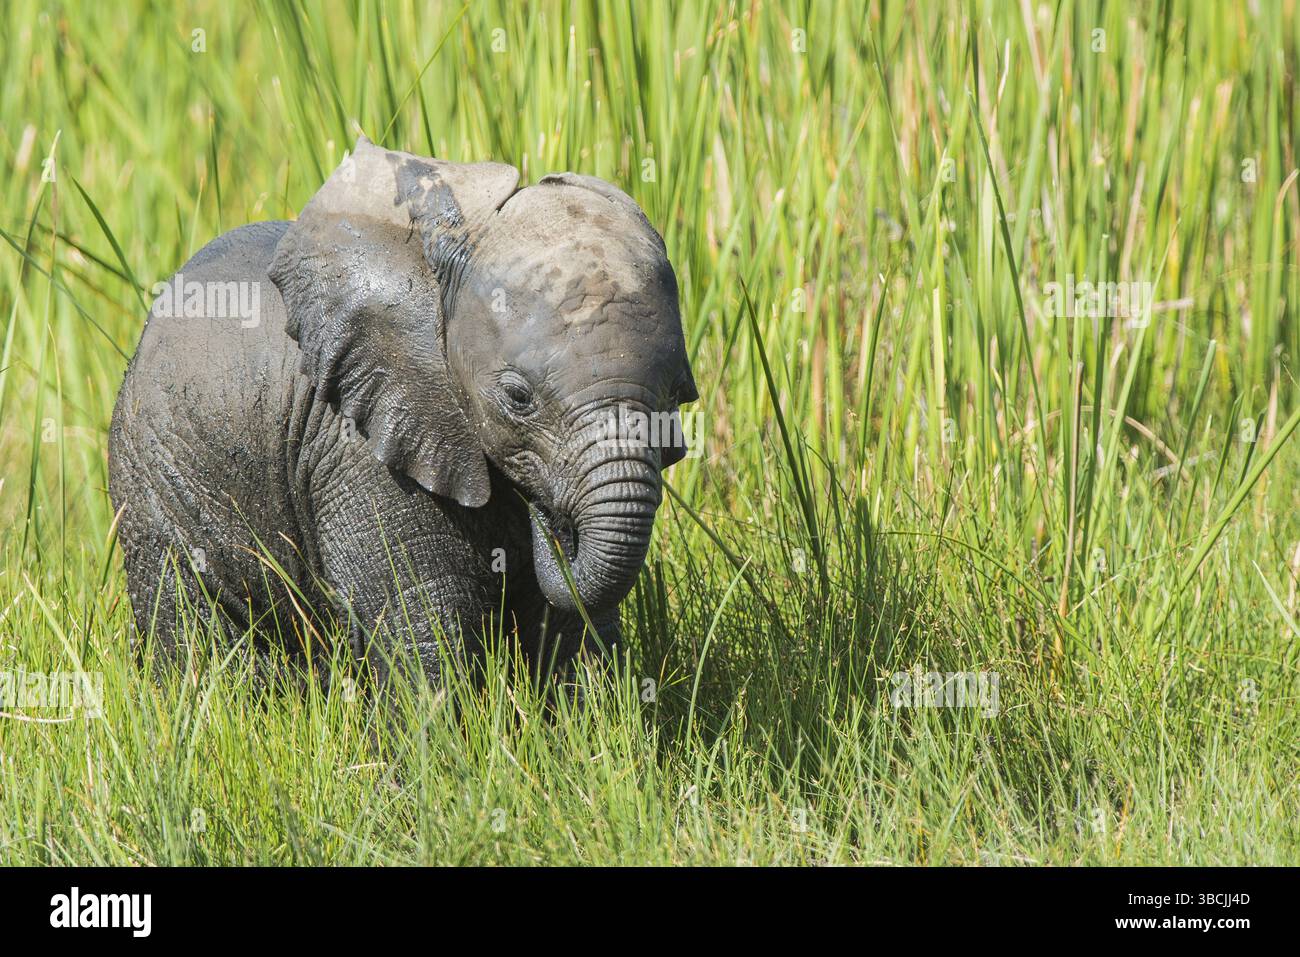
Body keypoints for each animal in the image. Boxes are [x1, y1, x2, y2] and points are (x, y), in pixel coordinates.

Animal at [107, 136, 697, 695]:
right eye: (518, 398)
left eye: (673, 394)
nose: (549, 517)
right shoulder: (355, 444)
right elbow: (421, 612)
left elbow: (570, 626)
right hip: (153, 484)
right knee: (195, 631)